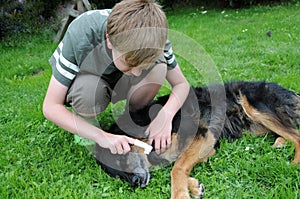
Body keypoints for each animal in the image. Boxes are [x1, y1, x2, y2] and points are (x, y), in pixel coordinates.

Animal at [94, 81, 300, 199]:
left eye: (120, 159)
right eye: (115, 174)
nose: (137, 183)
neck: (145, 127)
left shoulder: (201, 134)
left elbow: (177, 168)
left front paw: (180, 194)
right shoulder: (208, 144)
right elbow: (180, 164)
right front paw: (193, 186)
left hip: (256, 108)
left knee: (296, 136)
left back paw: (294, 163)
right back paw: (280, 143)